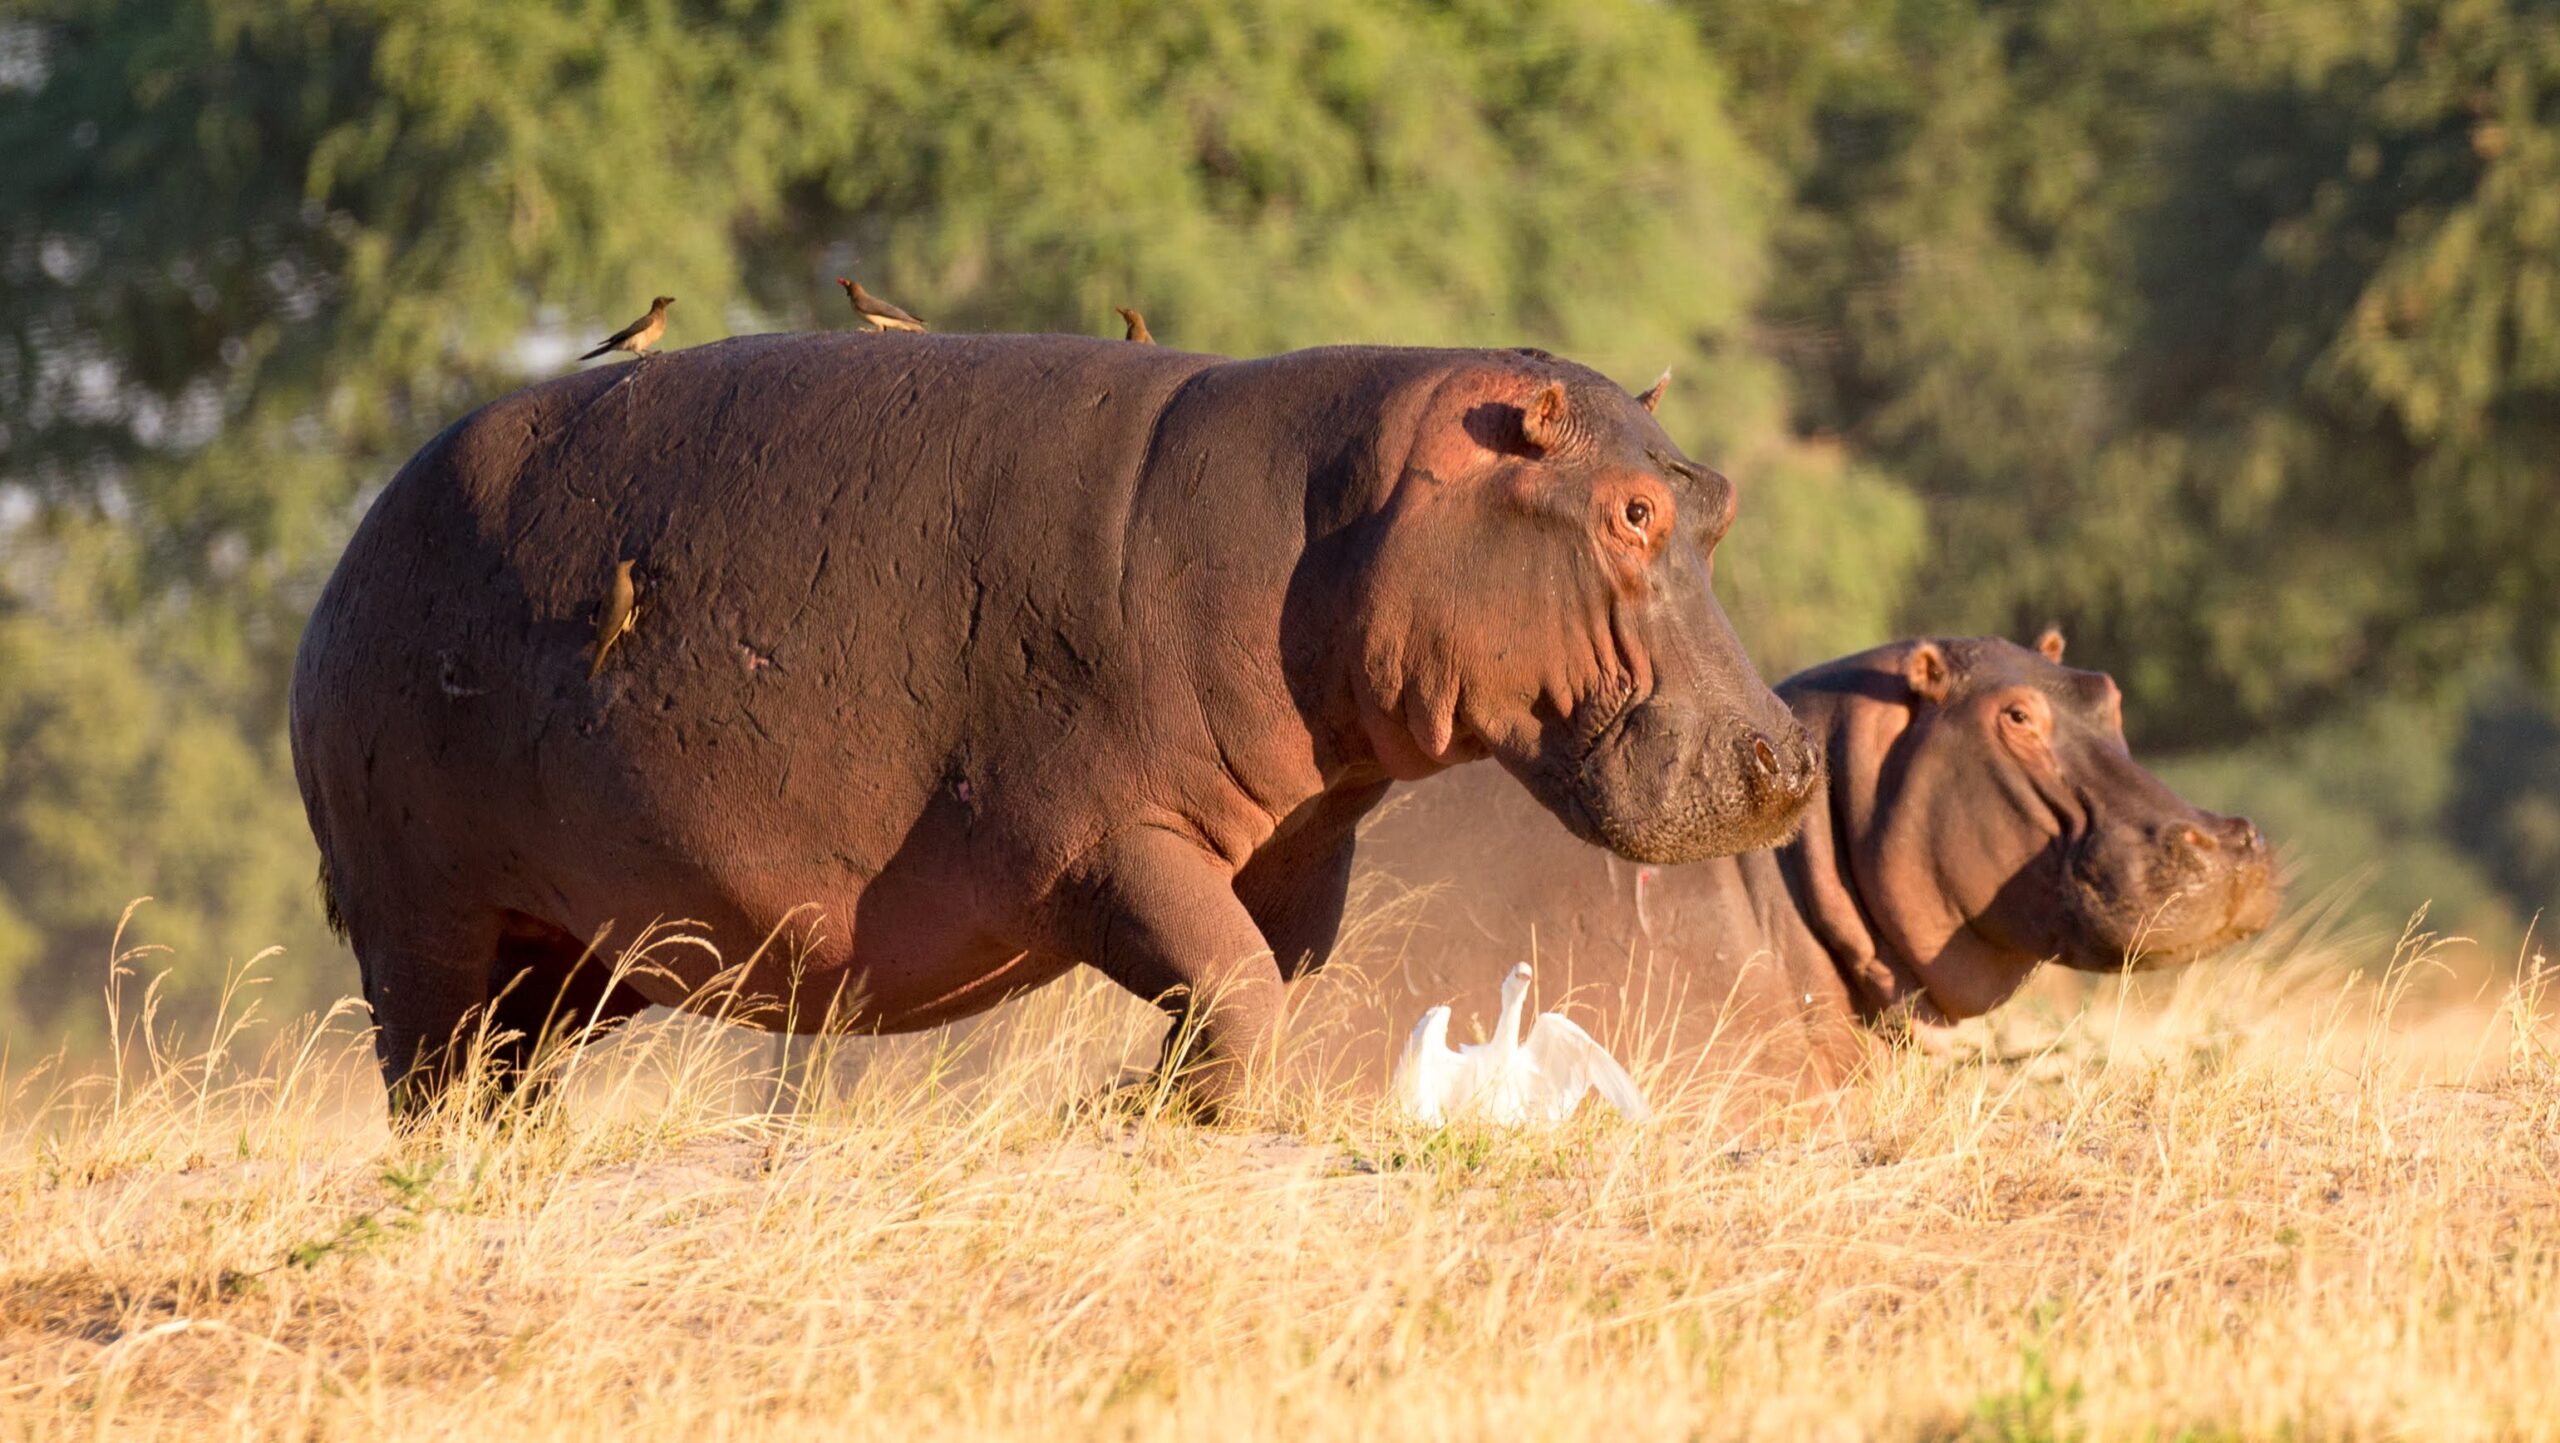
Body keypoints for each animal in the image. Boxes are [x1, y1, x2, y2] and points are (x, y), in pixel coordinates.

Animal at [294, 332, 1822, 1110]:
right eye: (1634, 509)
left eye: (1721, 497)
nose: (1787, 756)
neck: (1349, 507)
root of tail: (353, 543)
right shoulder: (1101, 838)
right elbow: (1234, 989)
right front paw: (1148, 1117)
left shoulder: (1297, 856)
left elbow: (1256, 988)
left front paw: (1142, 1111)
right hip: (421, 924)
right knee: (434, 1076)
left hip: (565, 955)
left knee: (511, 1074)